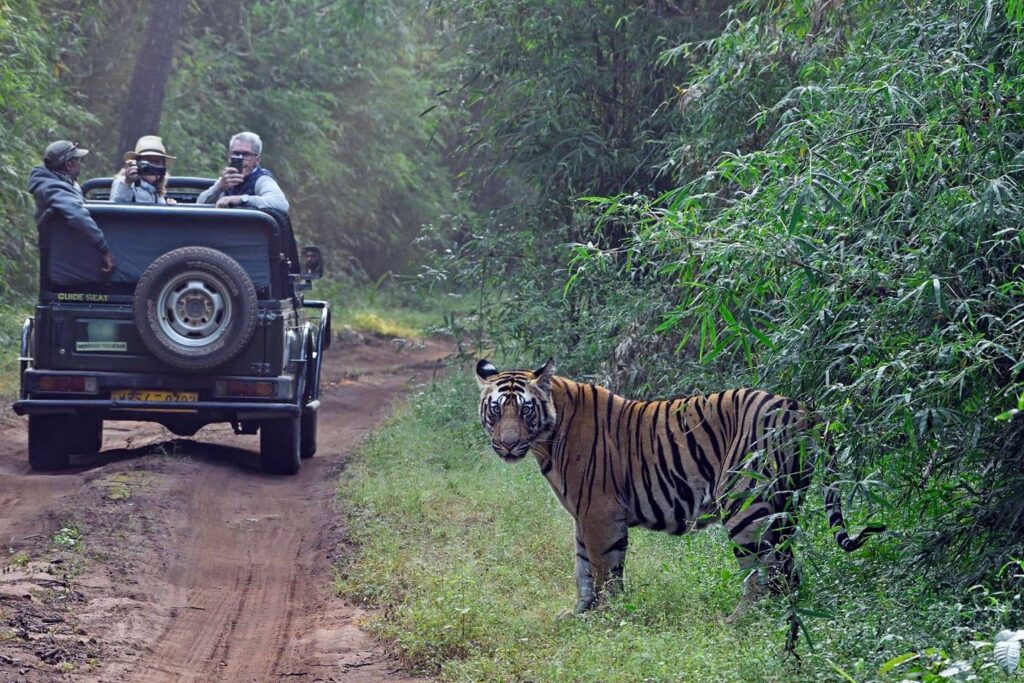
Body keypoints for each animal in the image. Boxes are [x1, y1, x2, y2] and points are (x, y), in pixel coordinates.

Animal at [475, 358, 885, 615]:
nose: (508, 445)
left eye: (525, 409)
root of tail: (800, 408)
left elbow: (604, 570)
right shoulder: (582, 514)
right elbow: (583, 569)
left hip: (745, 501)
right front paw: (580, 613)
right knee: (787, 571)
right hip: (785, 504)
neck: (548, 437)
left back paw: (739, 621)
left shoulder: (599, 513)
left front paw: (606, 617)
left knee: (762, 571)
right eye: (496, 410)